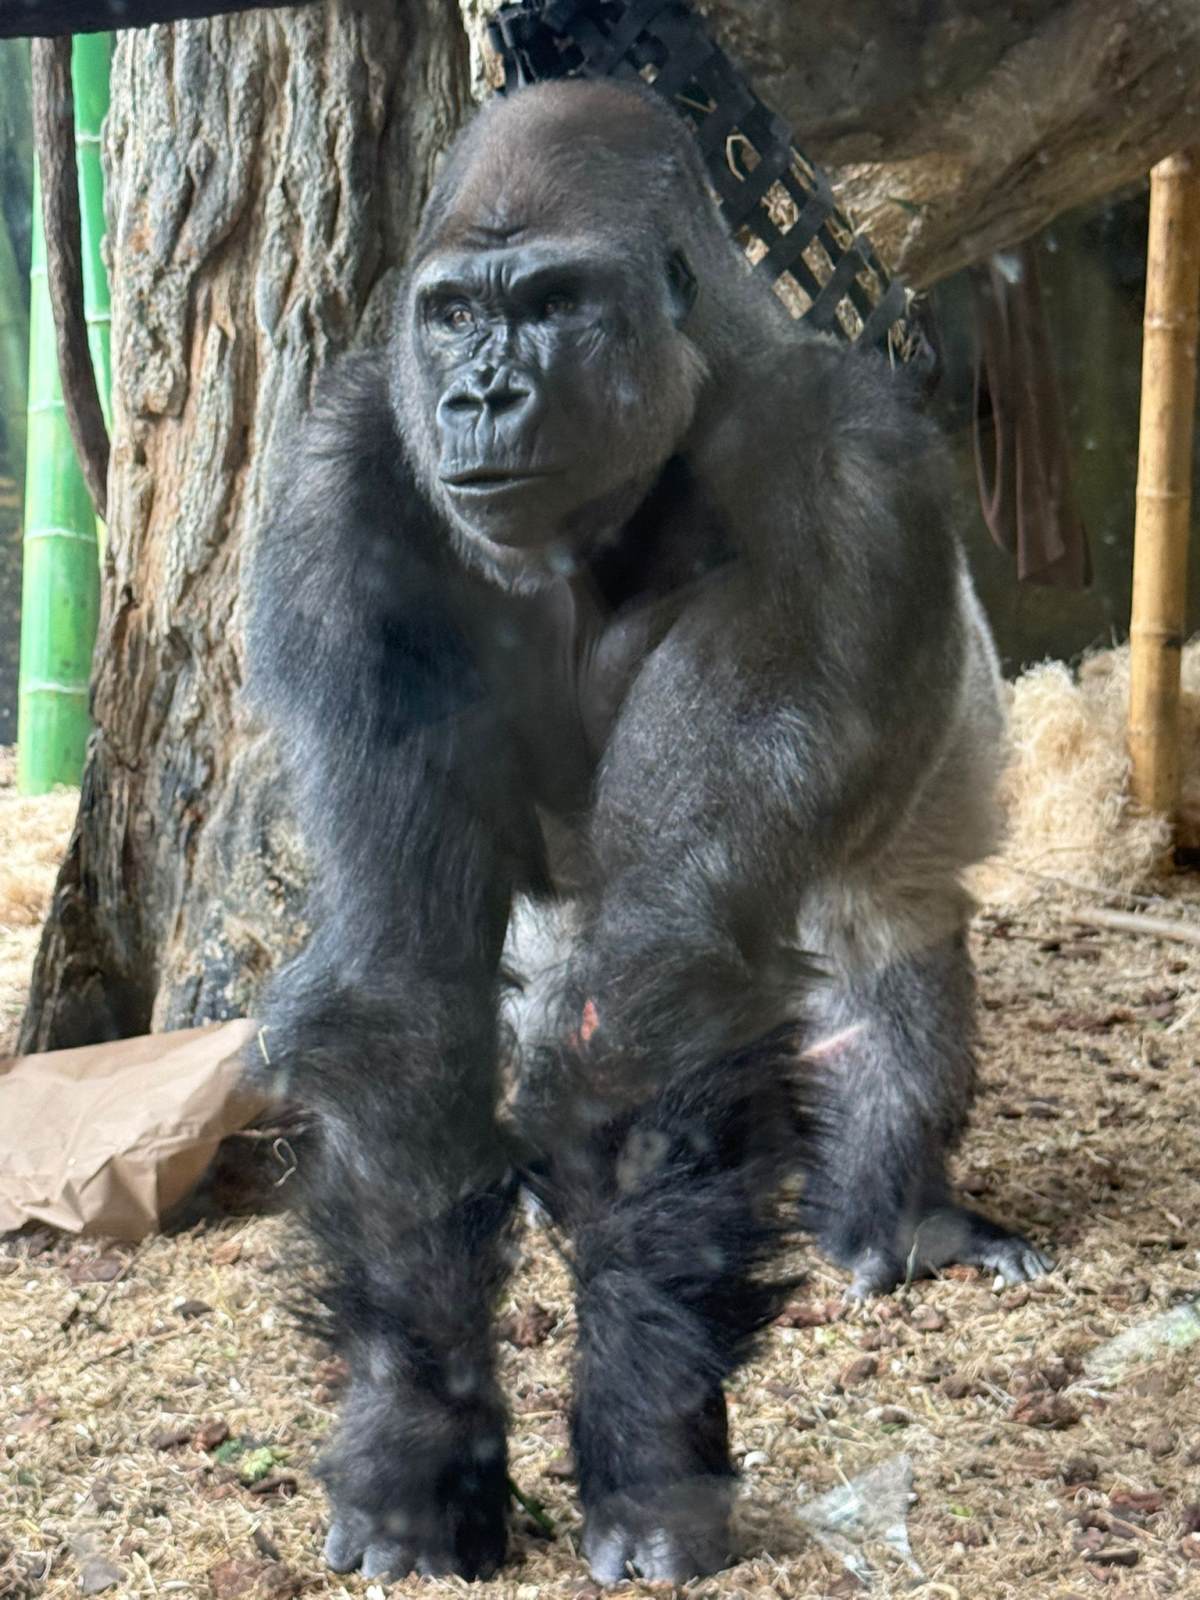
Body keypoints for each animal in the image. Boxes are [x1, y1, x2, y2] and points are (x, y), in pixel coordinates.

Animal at [245, 77, 1049, 1585]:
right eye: (451, 313)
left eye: (554, 303)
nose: (480, 395)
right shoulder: (339, 481)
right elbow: (403, 984)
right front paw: (416, 1444)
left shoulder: (834, 477)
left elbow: (663, 981)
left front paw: (645, 1439)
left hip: (920, 822)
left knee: (891, 980)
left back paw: (902, 1211)